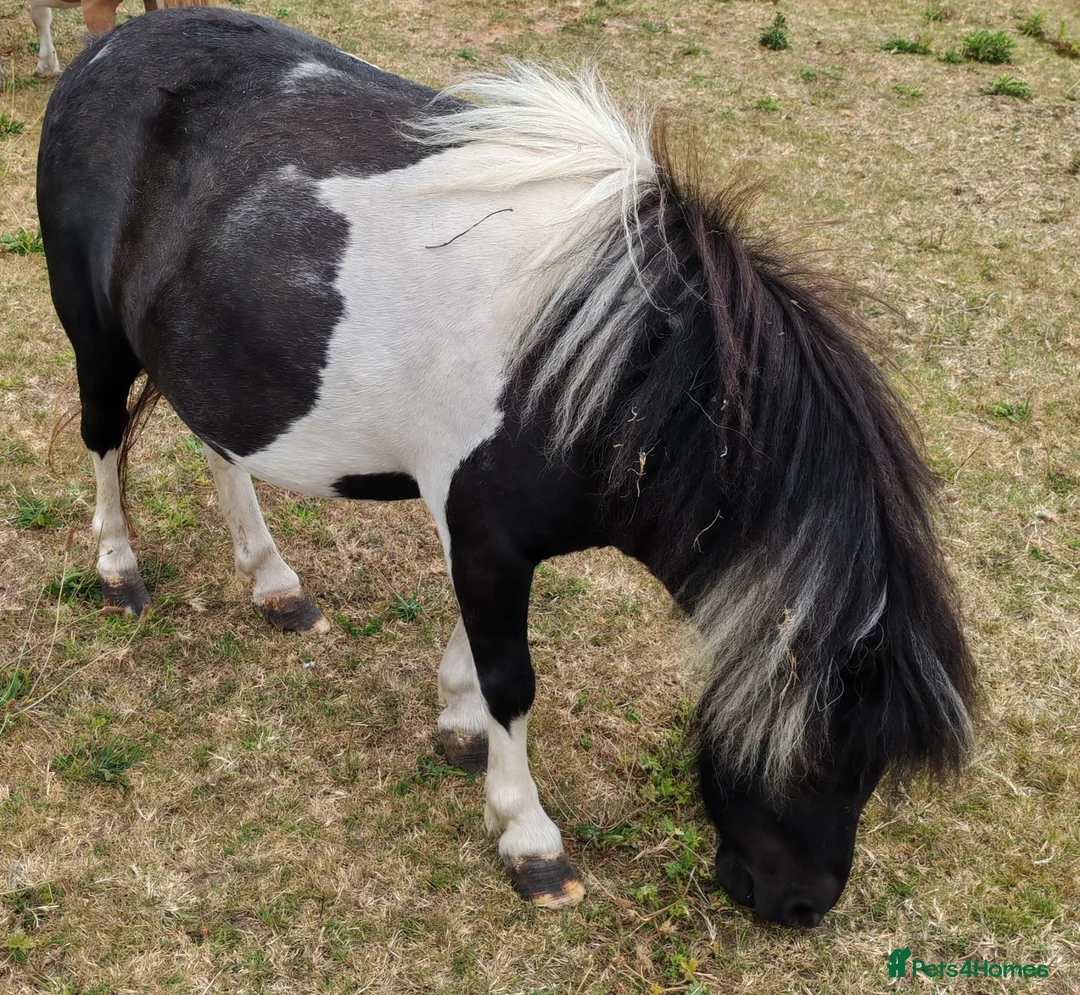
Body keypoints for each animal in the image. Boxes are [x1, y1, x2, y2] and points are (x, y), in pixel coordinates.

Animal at [37, 8, 977, 926]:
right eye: (824, 751)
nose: (803, 905)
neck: (610, 370)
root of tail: (105, 51)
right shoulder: (485, 535)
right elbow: (512, 680)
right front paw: (530, 837)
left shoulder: (491, 538)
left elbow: (477, 655)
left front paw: (459, 726)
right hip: (97, 339)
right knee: (104, 438)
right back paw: (118, 567)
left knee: (219, 446)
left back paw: (275, 581)